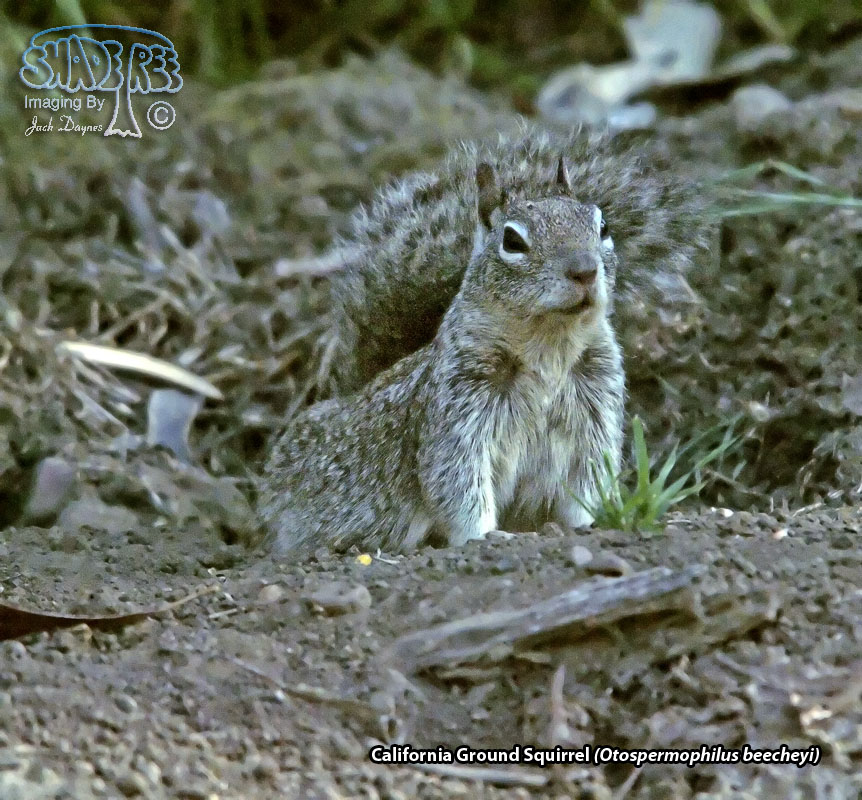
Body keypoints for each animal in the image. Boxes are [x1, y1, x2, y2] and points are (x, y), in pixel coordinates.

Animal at [260, 157, 625, 553]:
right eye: (512, 241)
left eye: (602, 226)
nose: (584, 270)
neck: (549, 345)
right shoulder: (458, 407)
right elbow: (457, 480)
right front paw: (484, 536)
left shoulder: (595, 406)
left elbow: (590, 476)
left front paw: (591, 522)